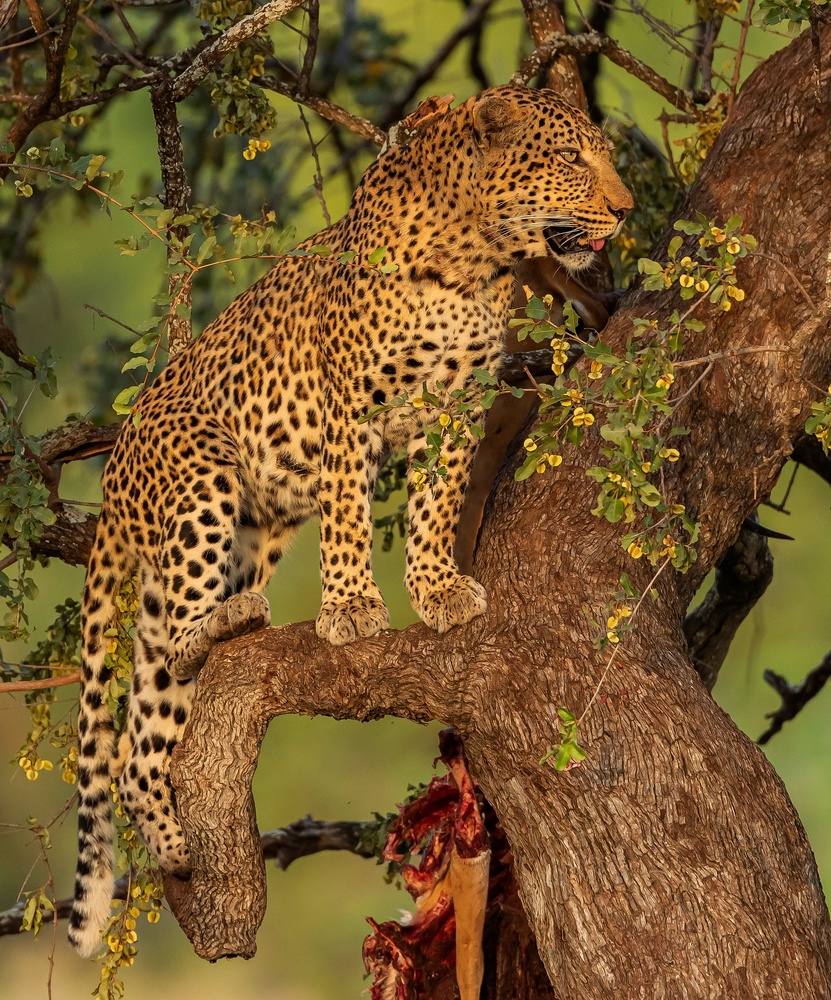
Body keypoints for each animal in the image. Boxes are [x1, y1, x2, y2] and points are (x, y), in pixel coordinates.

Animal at [69, 84, 632, 956]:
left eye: (602, 155)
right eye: (572, 158)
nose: (625, 208)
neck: (471, 257)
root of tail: (116, 470)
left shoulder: (454, 408)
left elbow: (438, 503)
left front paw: (437, 590)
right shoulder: (346, 408)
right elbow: (344, 514)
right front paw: (352, 609)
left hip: (242, 537)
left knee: (142, 727)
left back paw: (174, 826)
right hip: (202, 485)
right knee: (170, 649)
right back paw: (230, 626)